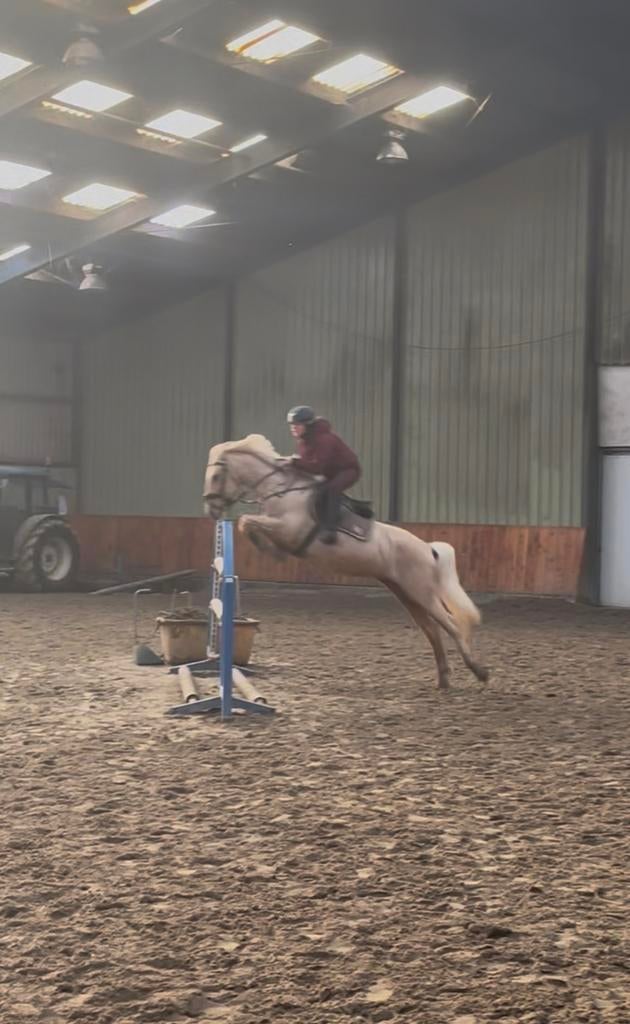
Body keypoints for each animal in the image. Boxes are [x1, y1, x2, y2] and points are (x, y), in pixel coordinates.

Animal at [203, 434, 488, 690]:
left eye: (216, 476)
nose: (211, 511)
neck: (280, 491)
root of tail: (428, 549)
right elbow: (249, 523)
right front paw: (270, 550)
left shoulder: (288, 530)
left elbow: (246, 521)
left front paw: (271, 551)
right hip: (406, 593)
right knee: (432, 630)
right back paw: (443, 679)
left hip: (422, 592)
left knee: (451, 625)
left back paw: (479, 671)